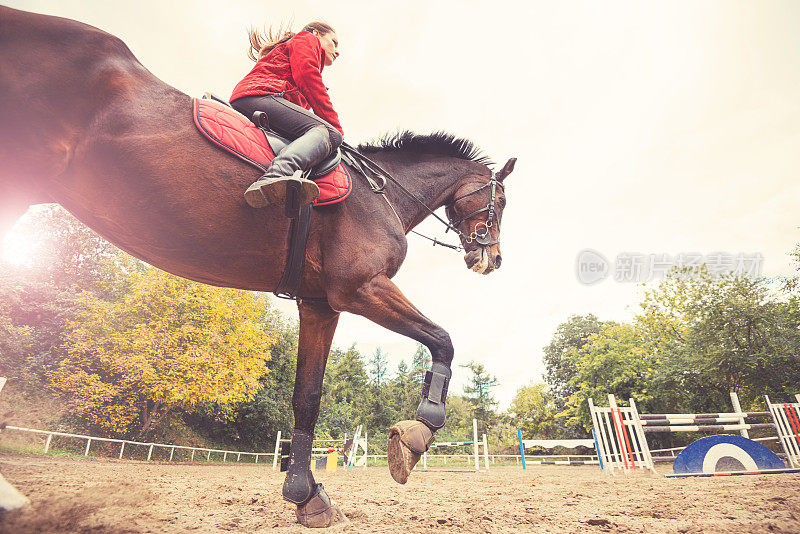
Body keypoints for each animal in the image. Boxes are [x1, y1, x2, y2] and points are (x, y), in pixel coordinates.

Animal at [0, 6, 512, 528]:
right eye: (503, 202)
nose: (491, 259)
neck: (381, 191)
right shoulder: (362, 288)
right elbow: (442, 341)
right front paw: (416, 434)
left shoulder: (320, 304)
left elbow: (307, 398)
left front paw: (306, 495)